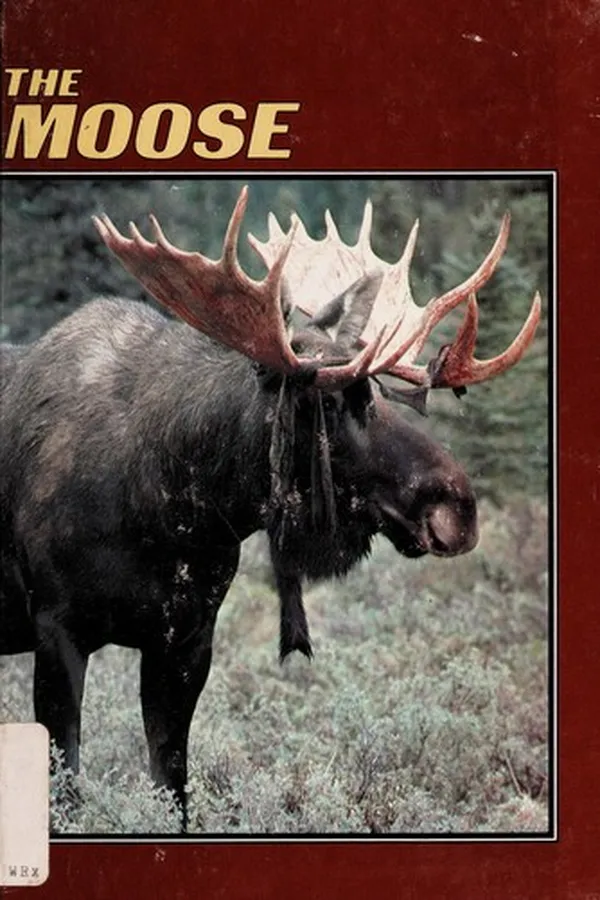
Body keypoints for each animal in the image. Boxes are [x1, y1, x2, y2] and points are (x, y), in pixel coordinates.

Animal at [0, 187, 541, 828]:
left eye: (379, 392)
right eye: (327, 401)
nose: (458, 506)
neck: (176, 504)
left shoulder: (186, 641)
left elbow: (173, 789)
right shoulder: (56, 630)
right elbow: (67, 793)